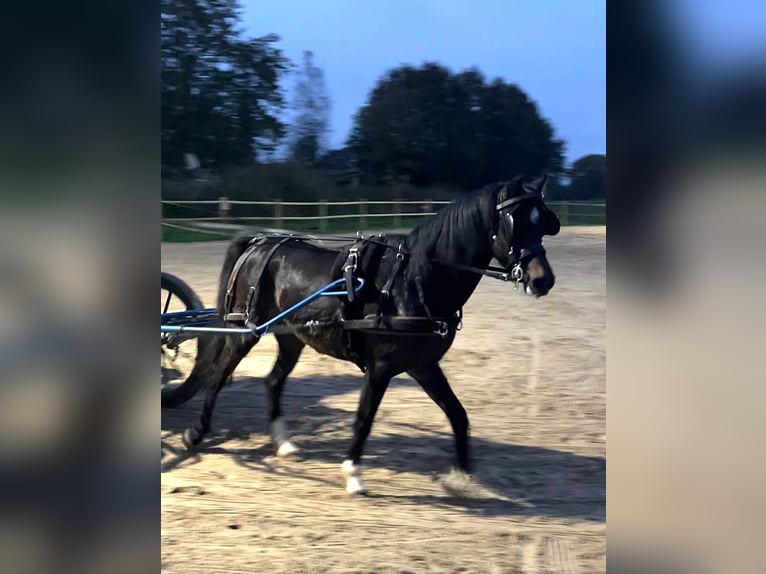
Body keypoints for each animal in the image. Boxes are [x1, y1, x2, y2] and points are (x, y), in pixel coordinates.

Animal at [168, 176, 560, 496]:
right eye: (515, 222)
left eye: (543, 224)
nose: (543, 280)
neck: (413, 283)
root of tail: (260, 243)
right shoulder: (381, 366)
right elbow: (364, 417)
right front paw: (353, 473)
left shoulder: (423, 365)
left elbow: (458, 414)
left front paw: (461, 477)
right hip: (244, 330)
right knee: (218, 375)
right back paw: (196, 433)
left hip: (292, 337)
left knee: (274, 380)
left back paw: (284, 443)